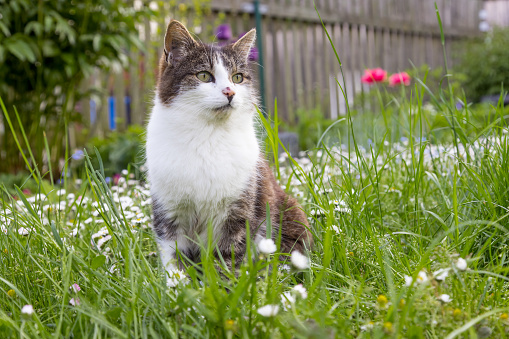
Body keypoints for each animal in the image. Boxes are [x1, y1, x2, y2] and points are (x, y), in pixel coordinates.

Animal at [145, 20, 312, 276]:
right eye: (204, 75)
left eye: (238, 78)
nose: (230, 92)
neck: (207, 136)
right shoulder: (169, 209)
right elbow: (174, 258)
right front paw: (178, 284)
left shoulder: (237, 210)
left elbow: (228, 255)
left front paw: (224, 283)